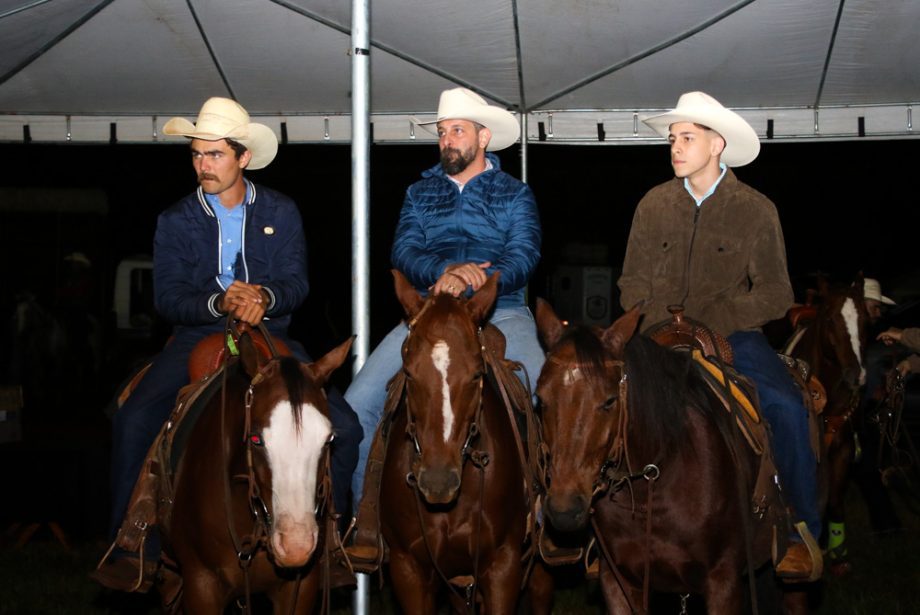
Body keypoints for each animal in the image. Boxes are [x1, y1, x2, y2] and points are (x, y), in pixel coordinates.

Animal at [532, 300, 784, 612]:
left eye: (609, 401)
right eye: (541, 399)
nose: (565, 510)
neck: (654, 485)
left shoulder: (724, 583)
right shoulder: (618, 582)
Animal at [780, 274, 868, 572]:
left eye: (866, 318)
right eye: (830, 319)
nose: (856, 374)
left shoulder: (842, 450)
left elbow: (834, 500)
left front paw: (838, 550)